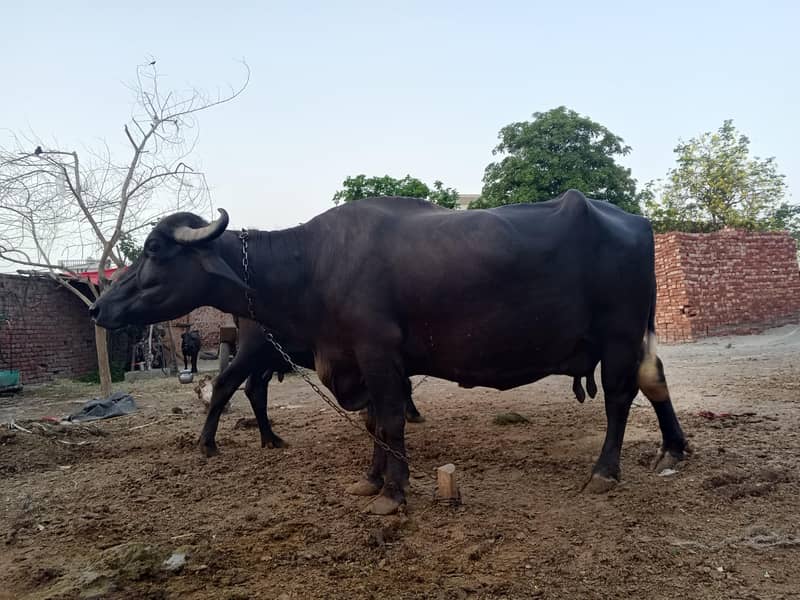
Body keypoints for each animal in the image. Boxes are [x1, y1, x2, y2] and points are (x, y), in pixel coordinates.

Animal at [90, 191, 688, 515]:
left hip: (618, 338)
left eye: (155, 249)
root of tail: (635, 222)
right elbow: (376, 422)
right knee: (653, 381)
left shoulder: (378, 356)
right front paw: (372, 479)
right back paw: (672, 449)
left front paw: (395, 492)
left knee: (620, 397)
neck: (312, 265)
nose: (100, 306)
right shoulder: (358, 362)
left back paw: (606, 471)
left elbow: (393, 421)